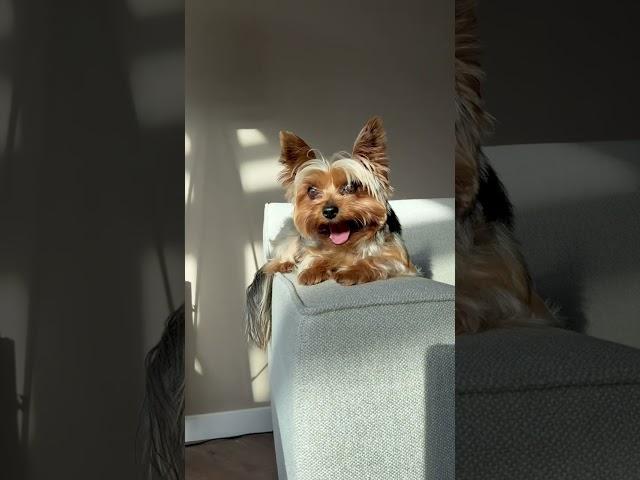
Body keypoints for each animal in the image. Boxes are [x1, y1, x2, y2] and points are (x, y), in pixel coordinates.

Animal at [244, 116, 416, 348]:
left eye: (350, 187)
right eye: (312, 191)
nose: (329, 211)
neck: (349, 243)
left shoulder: (400, 261)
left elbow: (376, 261)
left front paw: (350, 271)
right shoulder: (312, 247)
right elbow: (315, 257)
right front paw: (311, 271)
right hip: (291, 235)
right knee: (277, 258)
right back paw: (285, 263)